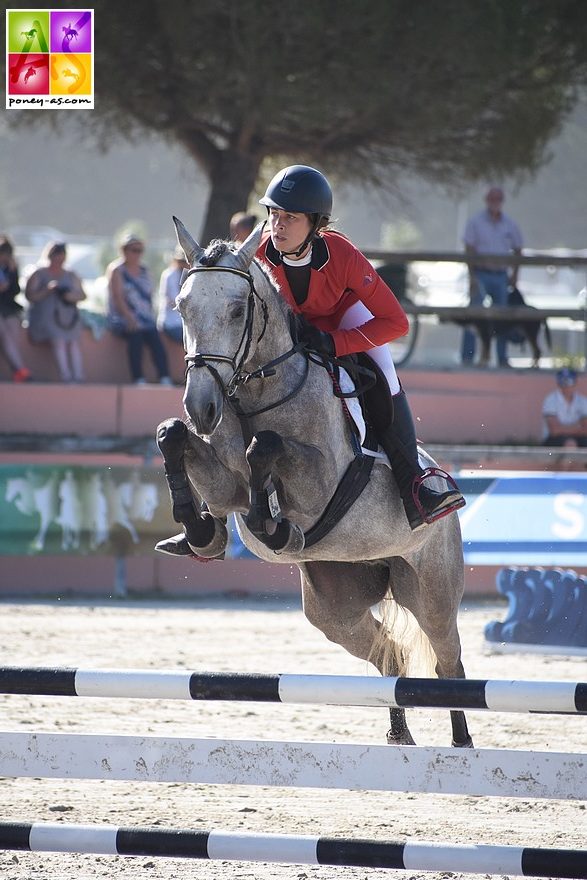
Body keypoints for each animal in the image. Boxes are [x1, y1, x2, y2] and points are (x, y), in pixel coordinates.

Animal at [155, 217, 474, 744]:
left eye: (237, 309)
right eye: (181, 307)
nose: (201, 406)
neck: (256, 395)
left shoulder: (320, 484)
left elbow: (265, 447)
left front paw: (272, 526)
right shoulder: (226, 487)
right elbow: (173, 436)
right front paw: (200, 531)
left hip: (431, 591)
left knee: (448, 660)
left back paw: (461, 741)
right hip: (335, 607)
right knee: (388, 651)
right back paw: (399, 734)